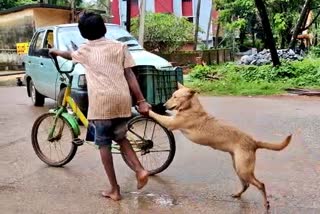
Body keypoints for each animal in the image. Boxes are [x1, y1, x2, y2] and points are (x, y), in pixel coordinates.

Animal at [149, 83, 292, 209]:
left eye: (175, 97)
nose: (163, 105)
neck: (191, 107)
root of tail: (253, 141)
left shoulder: (171, 123)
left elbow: (155, 115)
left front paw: (148, 109)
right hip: (238, 167)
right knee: (246, 185)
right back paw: (238, 194)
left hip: (243, 169)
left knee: (260, 184)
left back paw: (266, 204)